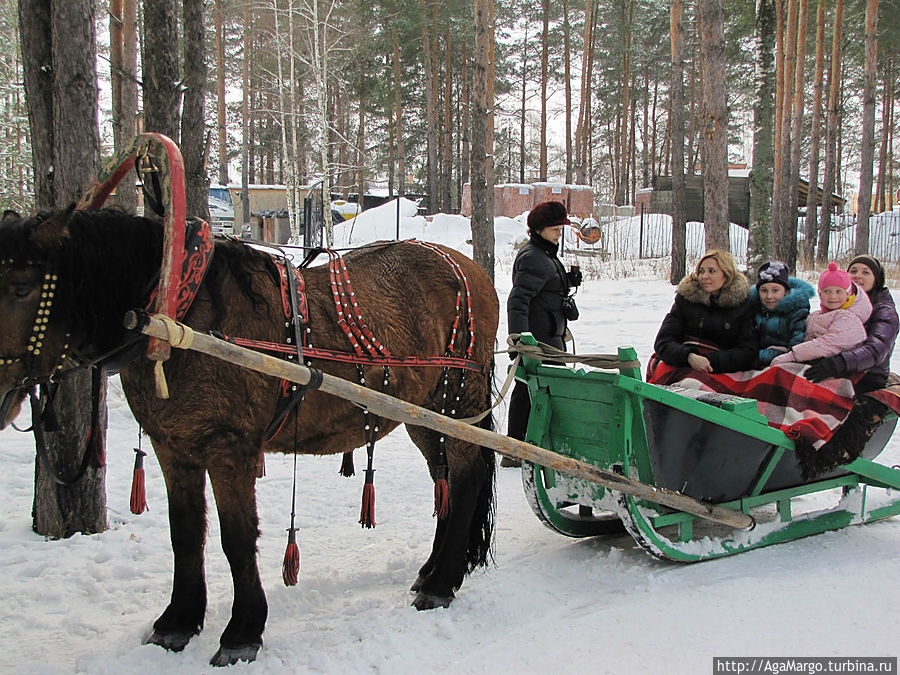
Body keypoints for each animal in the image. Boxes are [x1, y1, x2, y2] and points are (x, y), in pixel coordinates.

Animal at [0, 209, 500, 668]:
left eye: (22, 288)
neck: (177, 317)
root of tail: (472, 269)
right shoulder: (173, 447)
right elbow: (186, 532)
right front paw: (178, 621)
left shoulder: (229, 446)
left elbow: (236, 536)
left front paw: (242, 632)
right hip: (426, 413)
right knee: (445, 482)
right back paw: (433, 571)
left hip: (457, 401)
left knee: (467, 477)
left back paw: (441, 584)